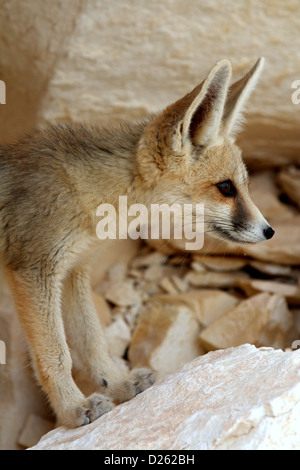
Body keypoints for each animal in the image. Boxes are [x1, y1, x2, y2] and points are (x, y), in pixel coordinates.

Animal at [0, 57, 274, 426]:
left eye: (242, 185)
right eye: (226, 188)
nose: (269, 231)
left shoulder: (73, 272)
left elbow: (92, 341)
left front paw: (117, 384)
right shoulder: (35, 270)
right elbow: (57, 354)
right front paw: (72, 409)